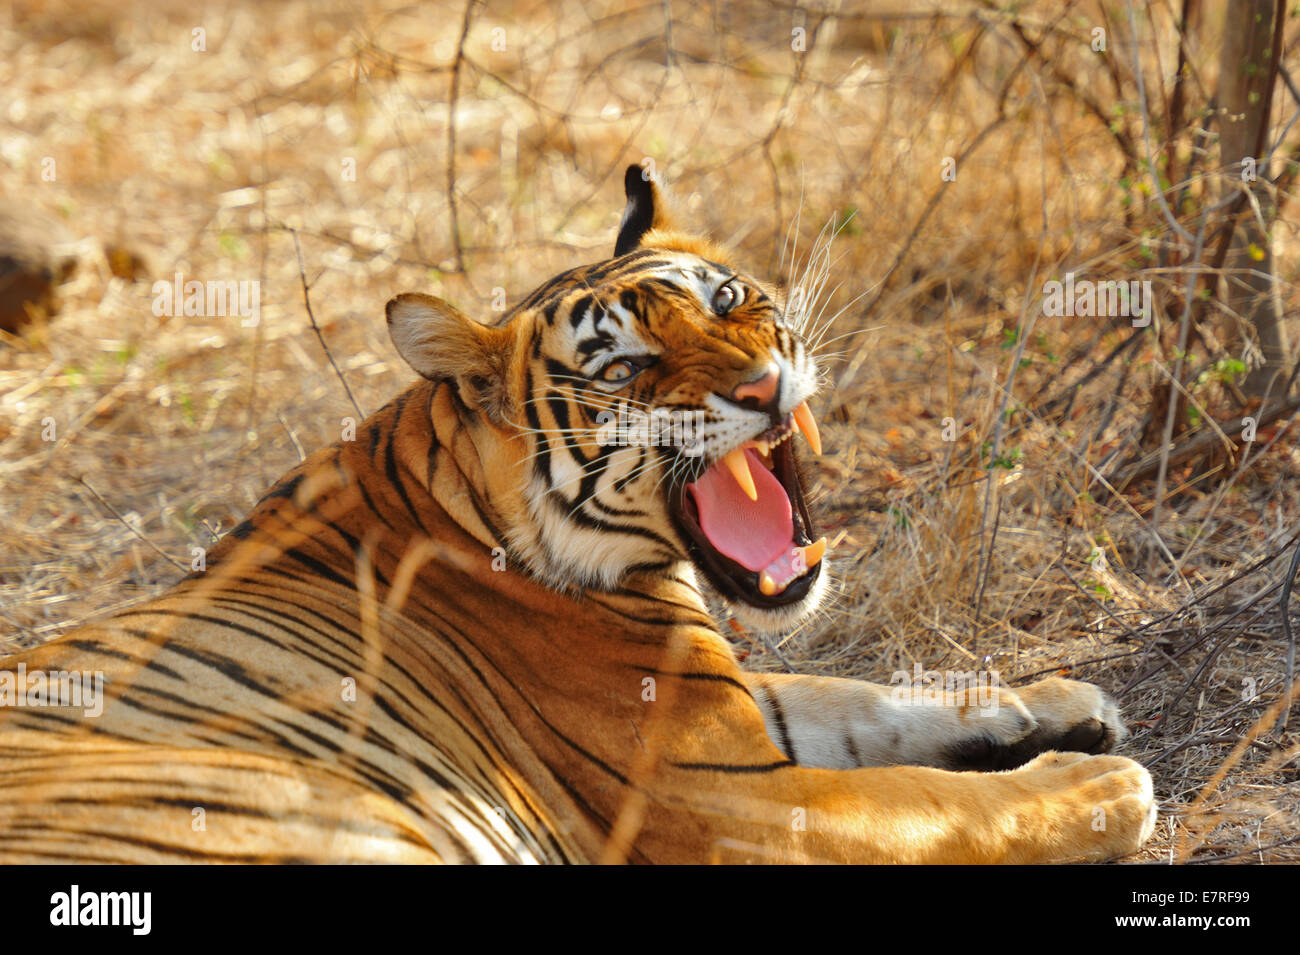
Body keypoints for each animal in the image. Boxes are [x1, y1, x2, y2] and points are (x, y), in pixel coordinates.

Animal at [0, 165, 1156, 864]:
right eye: (627, 368)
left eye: (727, 298)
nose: (762, 387)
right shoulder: (732, 798)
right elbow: (938, 801)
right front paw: (1102, 781)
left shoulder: (737, 718)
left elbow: (865, 698)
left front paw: (1052, 701)